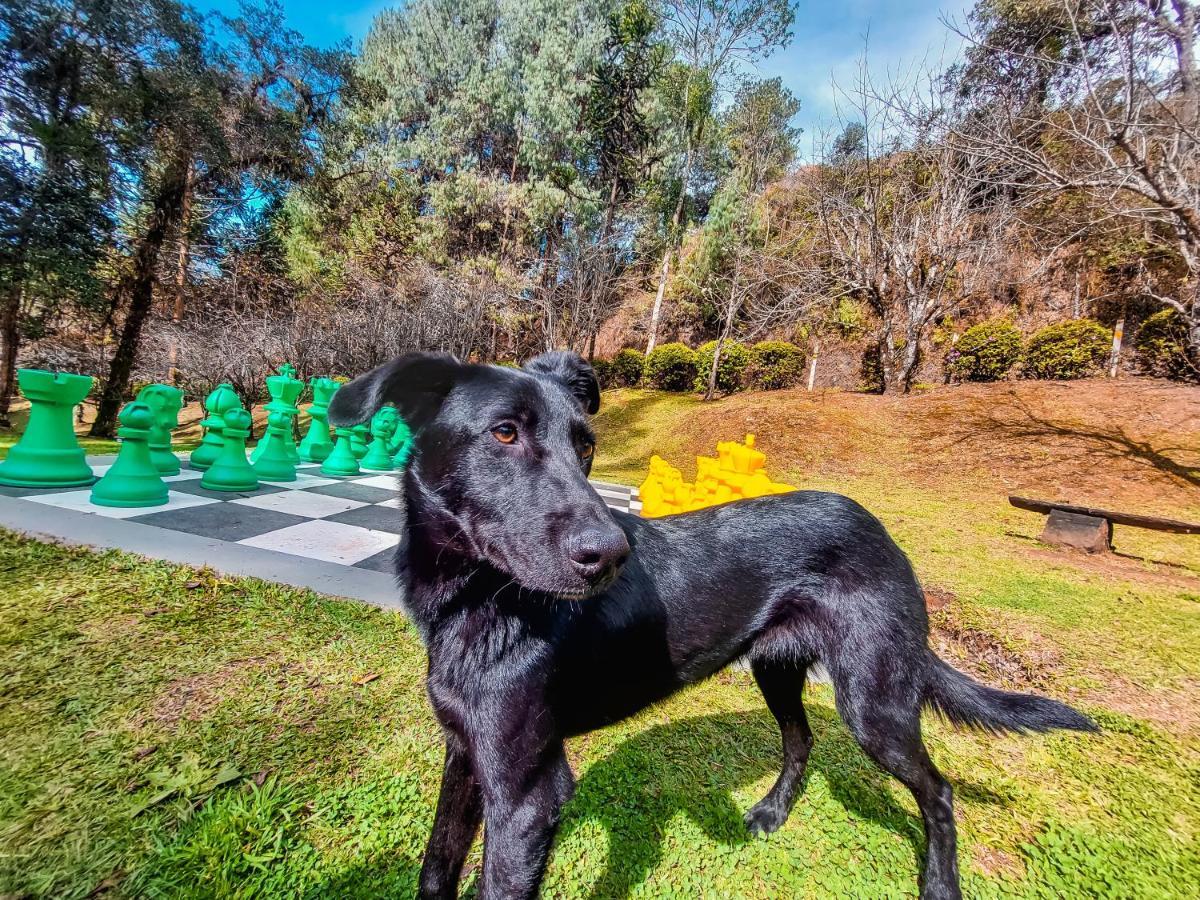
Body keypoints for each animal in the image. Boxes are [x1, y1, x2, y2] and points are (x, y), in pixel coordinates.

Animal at [331, 352, 1099, 900]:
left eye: (586, 447)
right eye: (503, 433)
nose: (613, 554)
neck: (474, 600)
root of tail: (879, 528)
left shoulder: (527, 797)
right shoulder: (465, 758)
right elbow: (435, 868)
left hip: (875, 700)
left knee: (935, 790)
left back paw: (939, 885)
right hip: (778, 668)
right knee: (802, 740)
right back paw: (771, 814)